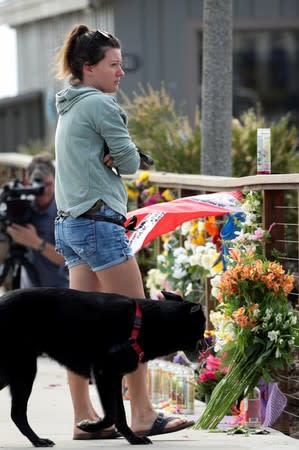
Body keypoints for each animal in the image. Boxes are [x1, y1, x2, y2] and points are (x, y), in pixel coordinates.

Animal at [0, 286, 206, 444]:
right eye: (203, 325)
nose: (207, 346)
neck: (143, 323)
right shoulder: (103, 373)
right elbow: (112, 414)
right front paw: (89, 426)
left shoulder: (114, 378)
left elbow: (120, 415)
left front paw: (133, 438)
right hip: (24, 370)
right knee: (17, 413)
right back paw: (38, 440)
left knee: (16, 413)